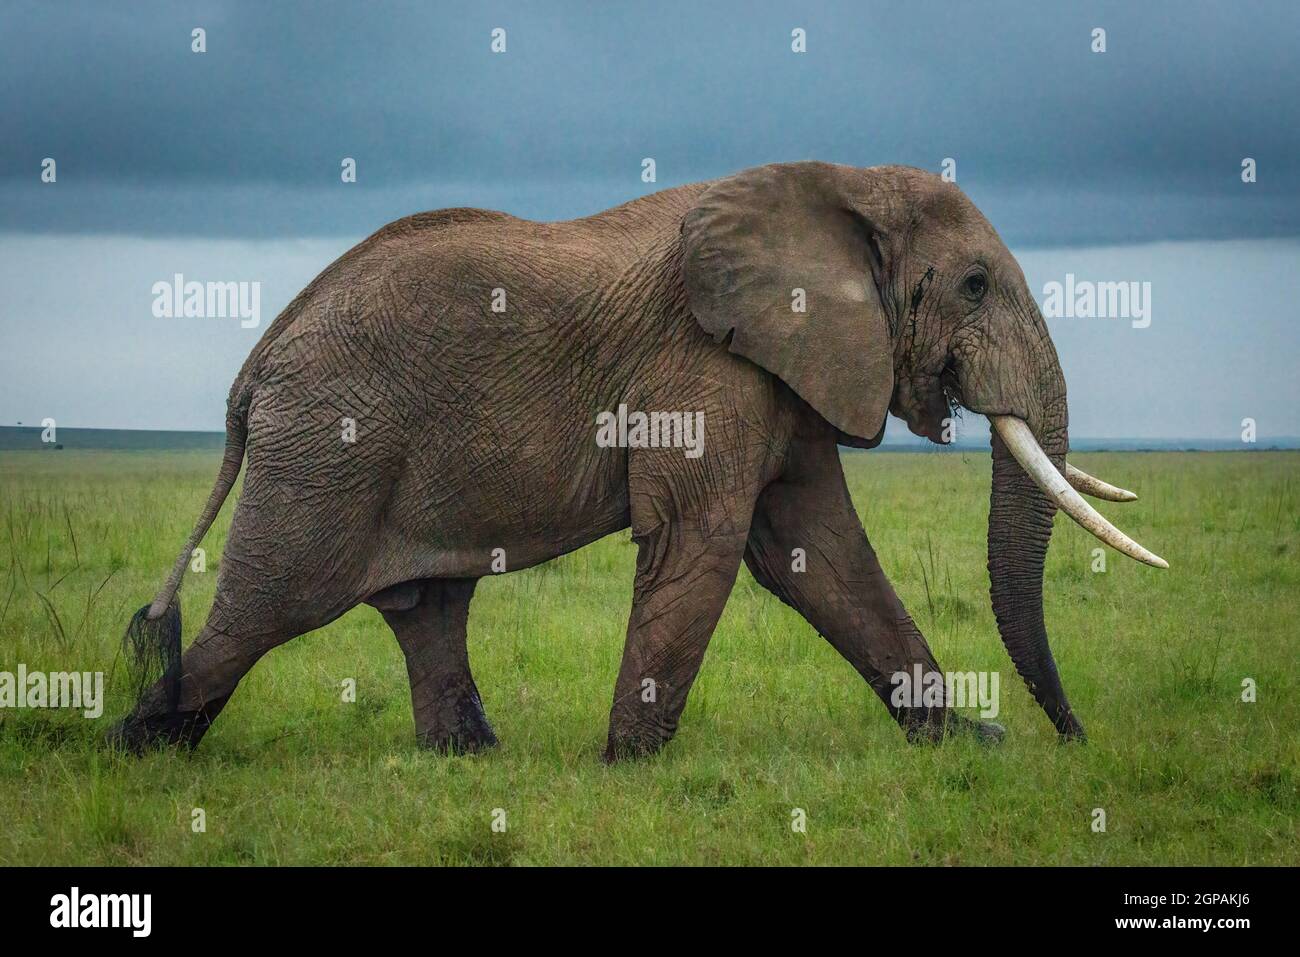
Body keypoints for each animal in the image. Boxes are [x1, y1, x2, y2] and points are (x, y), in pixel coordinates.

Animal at [110, 161, 1166, 760]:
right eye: (977, 284)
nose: (1072, 740)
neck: (843, 184)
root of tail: (256, 366)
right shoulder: (705, 364)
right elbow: (710, 541)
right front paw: (630, 765)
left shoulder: (781, 367)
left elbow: (818, 550)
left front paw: (970, 746)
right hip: (324, 452)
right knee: (263, 608)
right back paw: (136, 748)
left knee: (427, 606)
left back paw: (469, 758)